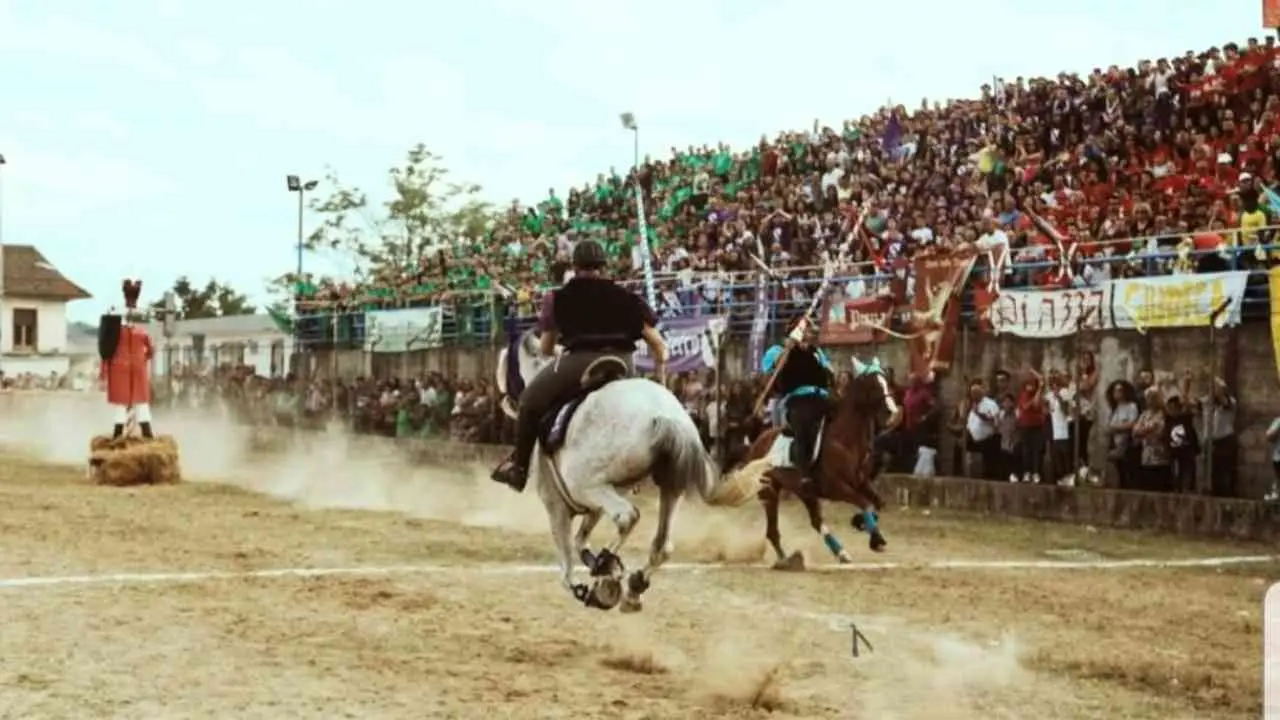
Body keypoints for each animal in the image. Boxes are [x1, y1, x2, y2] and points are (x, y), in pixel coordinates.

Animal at [494, 327, 752, 607]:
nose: (505, 401)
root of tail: (664, 415)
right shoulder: (594, 506)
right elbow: (580, 540)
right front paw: (598, 564)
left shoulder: (557, 506)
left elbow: (566, 563)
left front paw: (583, 585)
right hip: (668, 486)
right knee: (661, 545)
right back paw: (631, 581)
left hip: (590, 486)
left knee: (628, 516)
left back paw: (606, 567)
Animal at [727, 361, 896, 568]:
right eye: (873, 385)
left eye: (886, 381)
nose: (891, 411)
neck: (845, 441)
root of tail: (756, 443)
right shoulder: (836, 488)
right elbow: (865, 504)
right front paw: (876, 539)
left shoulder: (862, 483)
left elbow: (878, 504)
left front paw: (861, 524)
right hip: (769, 492)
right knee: (773, 531)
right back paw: (786, 561)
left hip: (804, 492)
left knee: (815, 521)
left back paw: (840, 553)